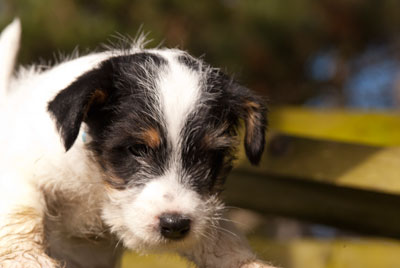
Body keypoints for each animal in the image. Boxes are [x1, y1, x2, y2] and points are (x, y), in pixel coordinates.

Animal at [0, 19, 276, 268]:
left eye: (207, 156)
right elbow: (22, 210)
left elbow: (220, 238)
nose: (175, 225)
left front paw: (249, 263)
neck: (97, 181)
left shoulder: (205, 213)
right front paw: (27, 259)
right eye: (137, 149)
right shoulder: (23, 168)